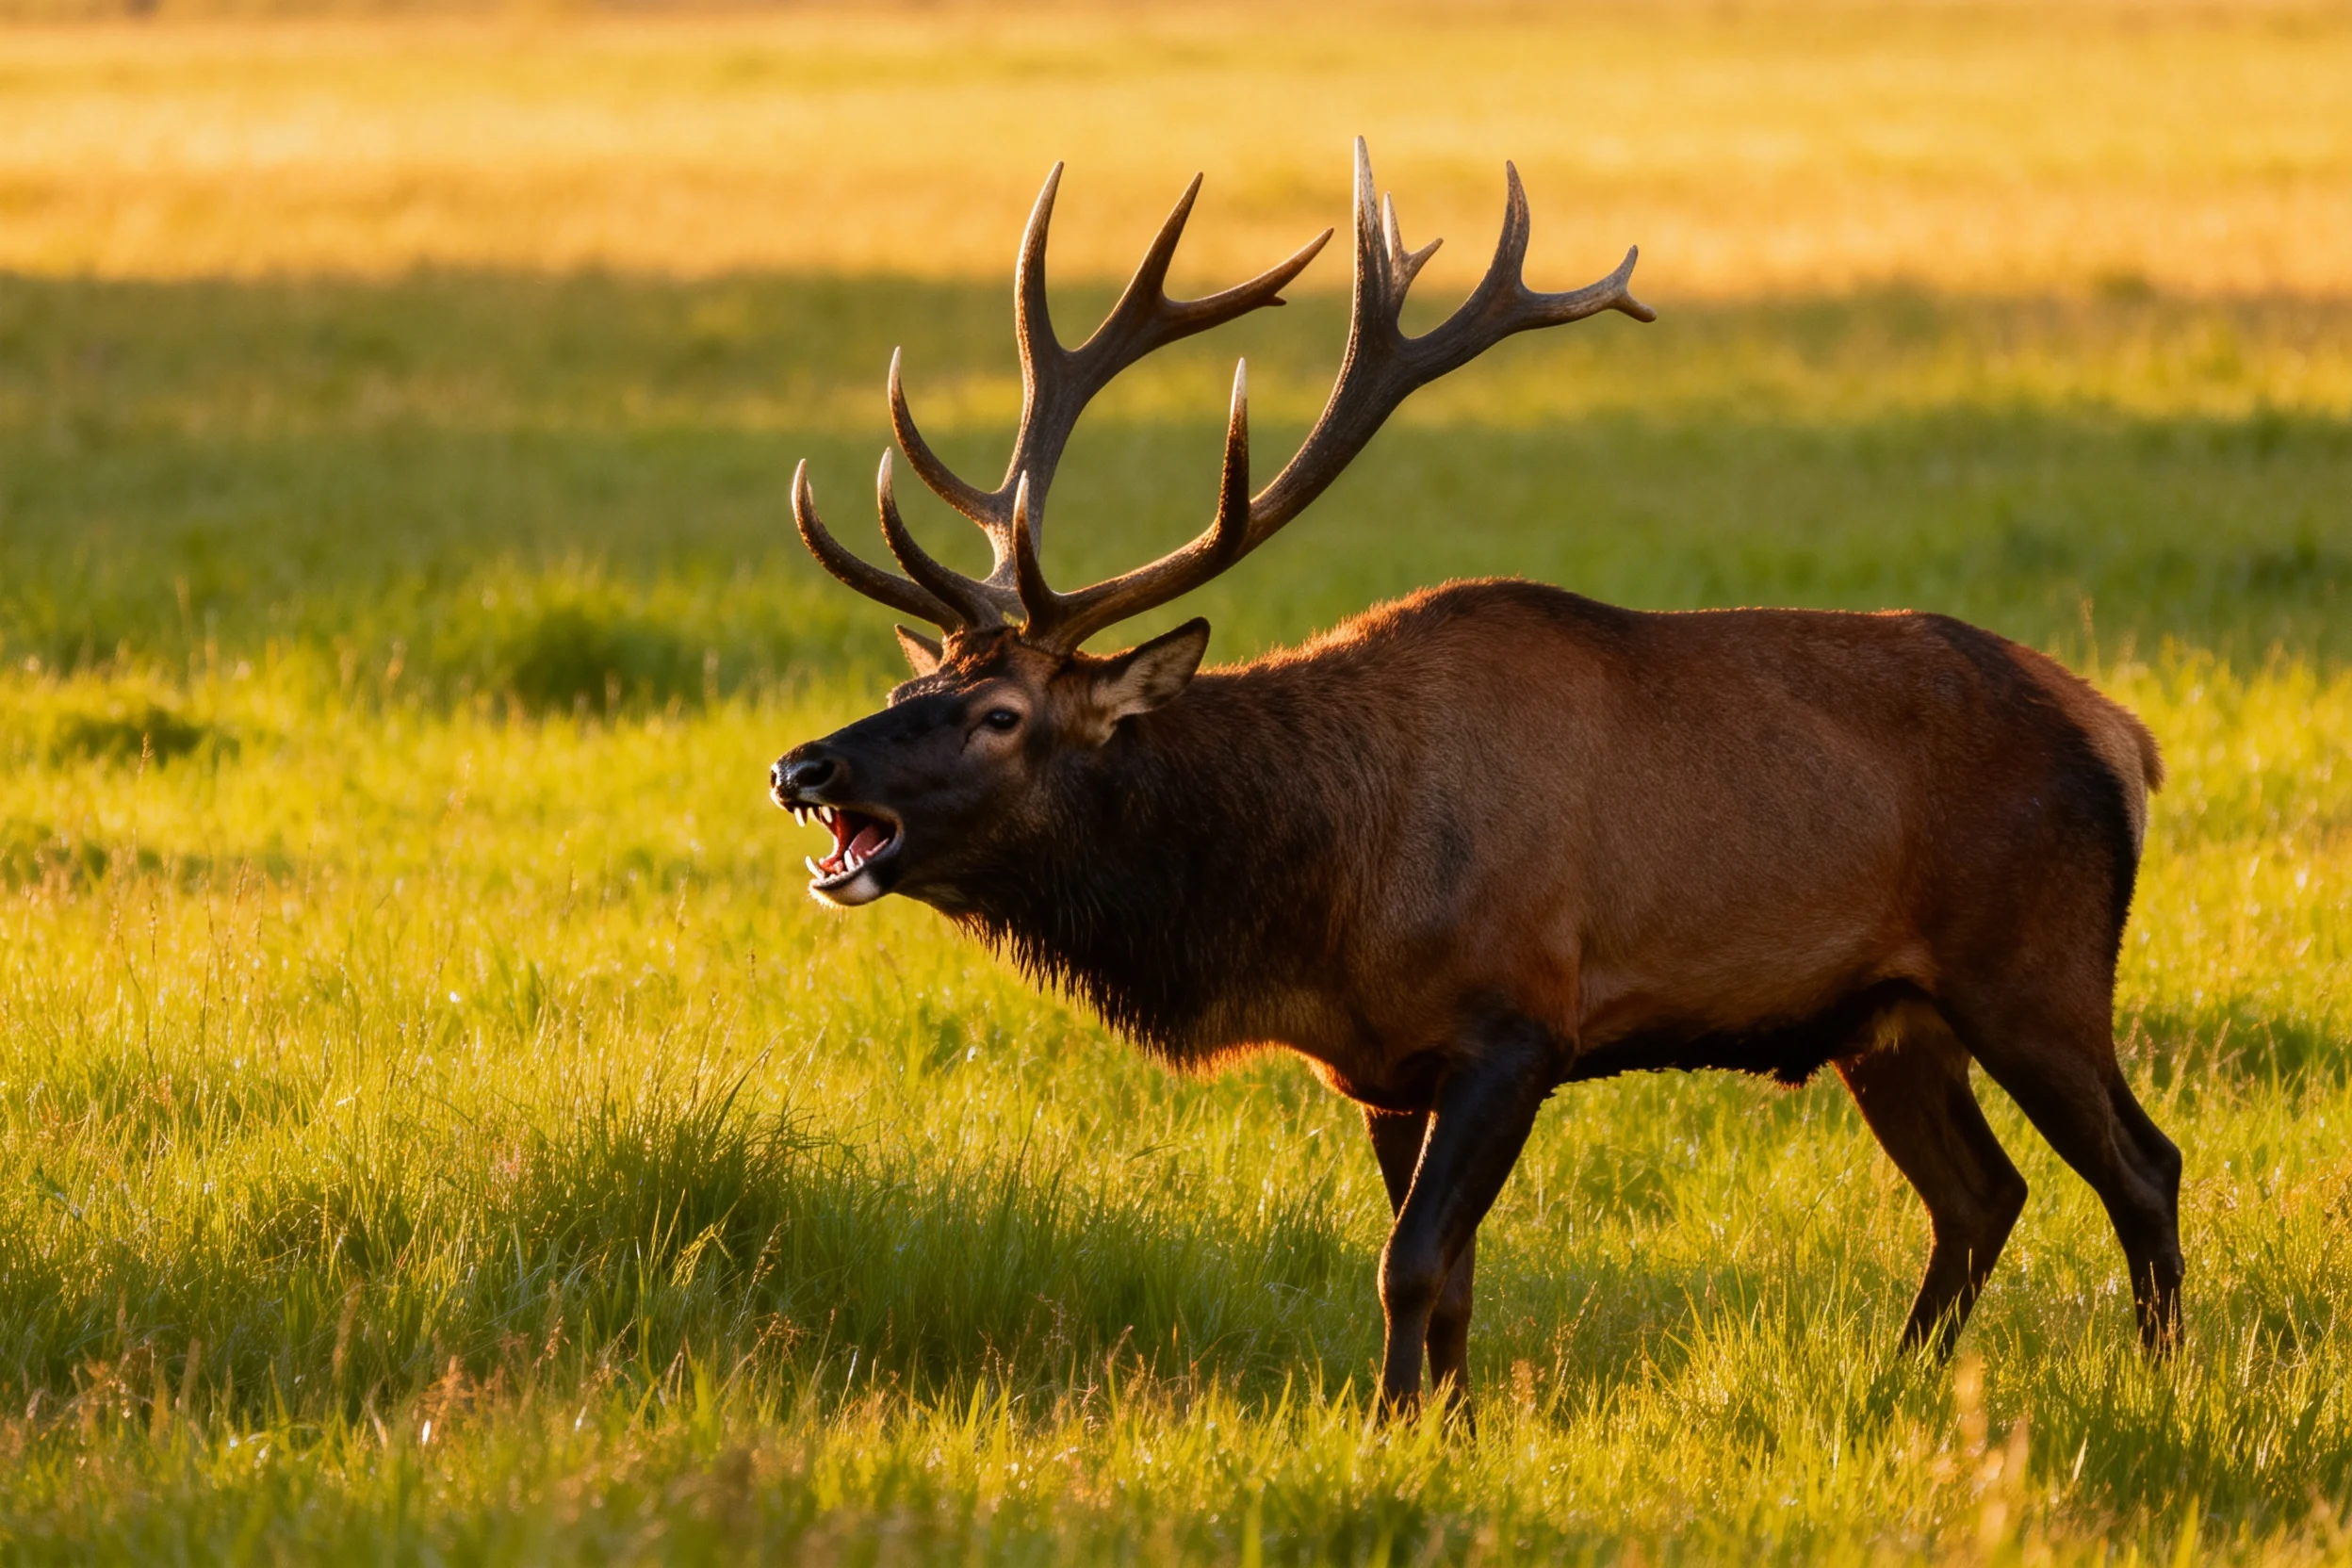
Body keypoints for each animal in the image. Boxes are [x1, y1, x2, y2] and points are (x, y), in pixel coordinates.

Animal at [767, 141, 2181, 1419]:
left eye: (1000, 714)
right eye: (914, 686)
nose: (800, 763)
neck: (1315, 898)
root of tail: (2124, 736)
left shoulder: (1519, 1022)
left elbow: (1410, 1264)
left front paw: (1394, 1429)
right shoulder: (1384, 1068)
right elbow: (1447, 1274)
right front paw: (1444, 1423)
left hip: (2034, 966)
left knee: (2143, 1164)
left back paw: (2162, 1381)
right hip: (1888, 1019)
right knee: (1982, 1193)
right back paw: (1902, 1377)